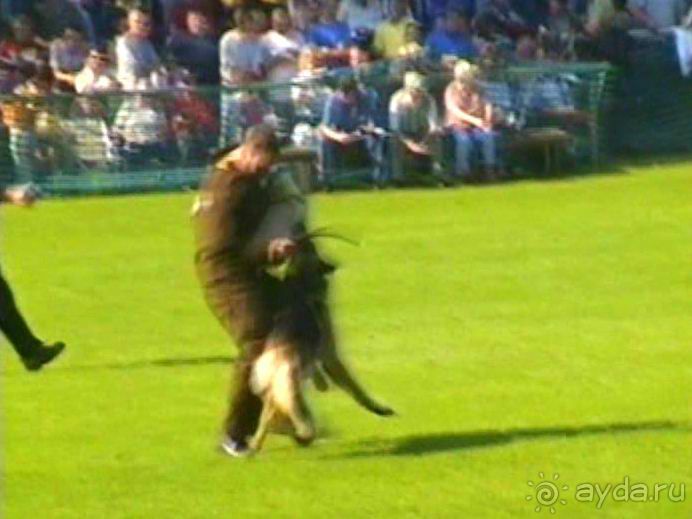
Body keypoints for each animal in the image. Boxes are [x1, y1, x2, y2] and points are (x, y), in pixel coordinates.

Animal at [249, 234, 392, 452]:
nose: (295, 240)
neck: (300, 285)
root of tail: (275, 360)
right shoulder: (329, 354)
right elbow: (354, 387)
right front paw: (378, 408)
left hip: (273, 389)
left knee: (268, 419)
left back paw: (259, 442)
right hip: (291, 387)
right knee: (296, 419)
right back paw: (303, 433)